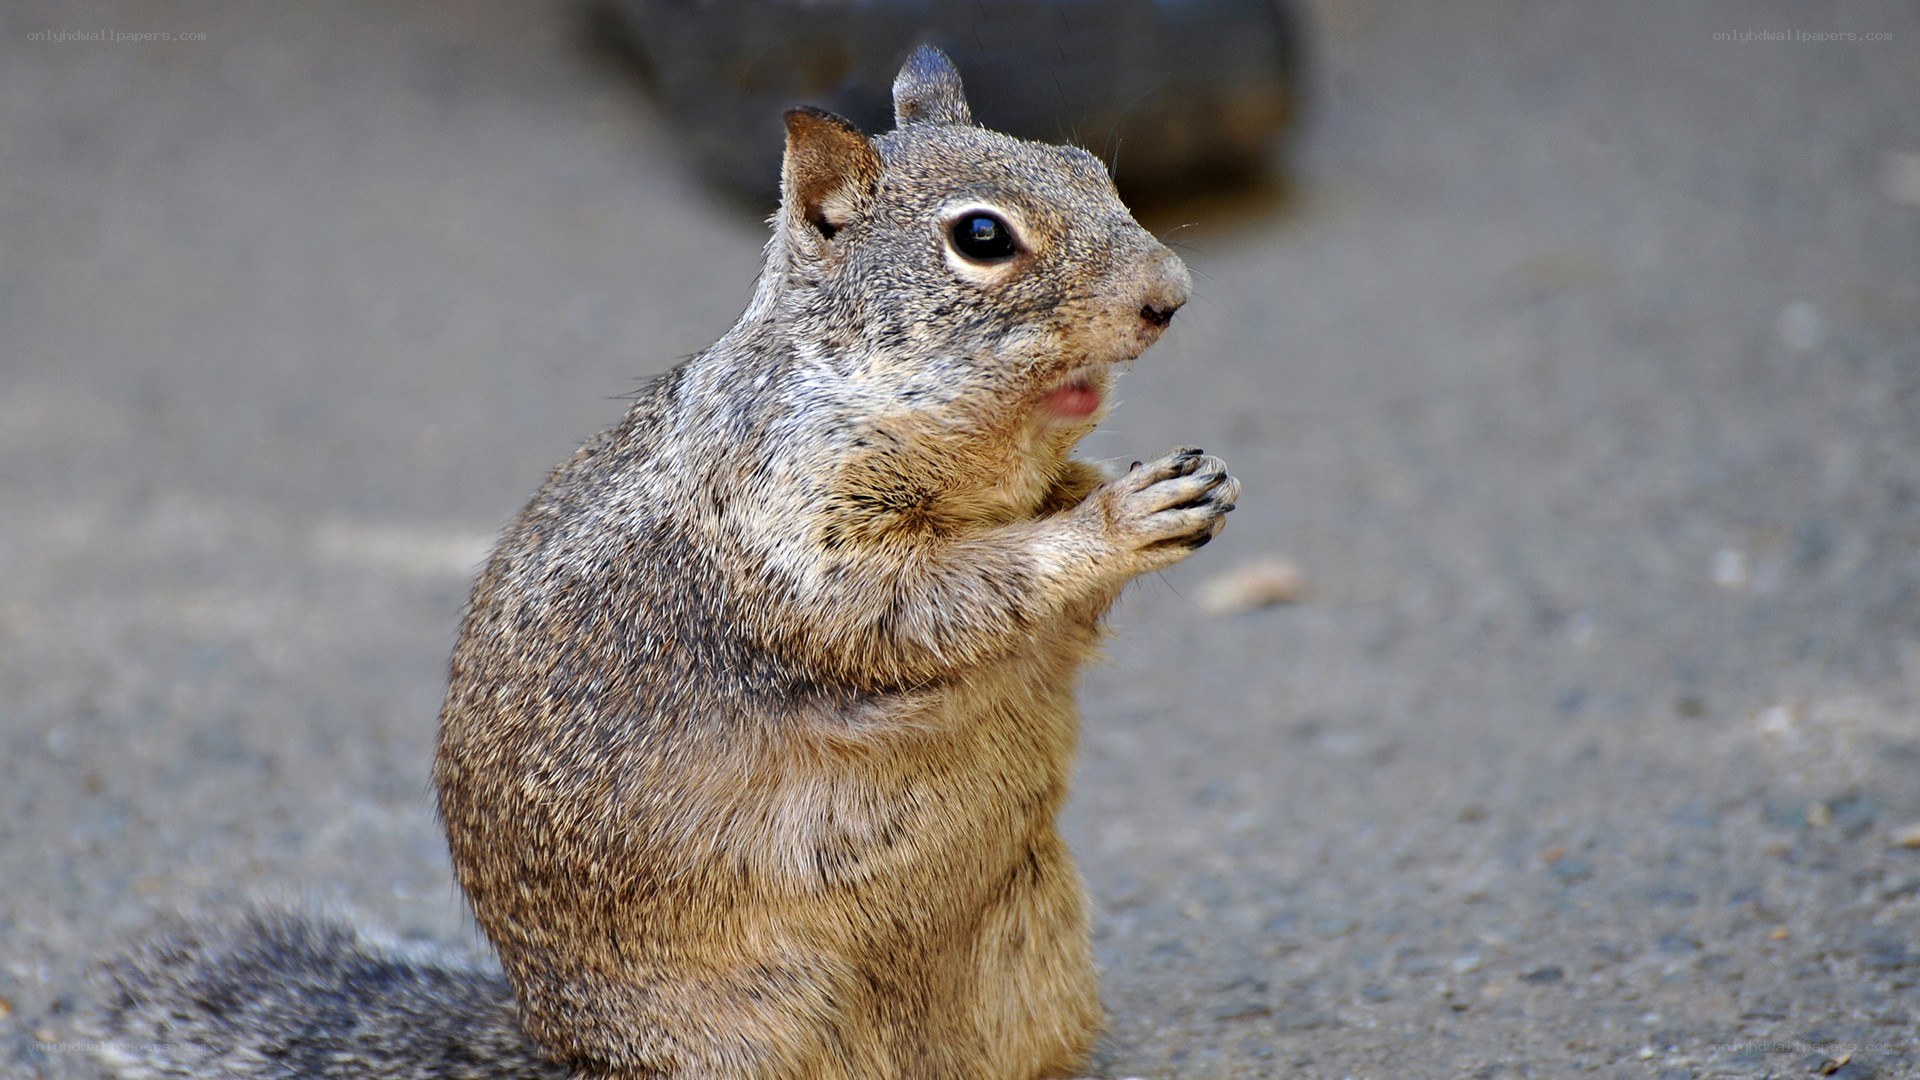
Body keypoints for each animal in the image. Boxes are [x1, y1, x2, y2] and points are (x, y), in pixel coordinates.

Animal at [84, 46, 1237, 1080]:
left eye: (1087, 165)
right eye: (982, 237)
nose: (1173, 294)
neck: (985, 459)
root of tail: (559, 1051)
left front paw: (1170, 482)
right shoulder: (791, 524)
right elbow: (915, 603)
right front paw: (1120, 518)